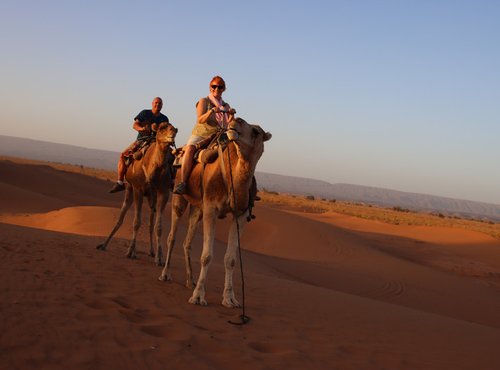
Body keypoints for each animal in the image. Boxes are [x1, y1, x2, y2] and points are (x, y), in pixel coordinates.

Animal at [96, 120, 177, 264]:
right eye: (162, 128)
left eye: (173, 128)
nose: (173, 133)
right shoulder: (138, 189)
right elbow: (136, 222)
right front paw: (129, 252)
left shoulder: (163, 192)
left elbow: (158, 226)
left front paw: (159, 257)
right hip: (129, 188)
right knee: (121, 217)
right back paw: (104, 245)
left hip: (150, 196)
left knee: (150, 223)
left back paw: (150, 251)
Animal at [159, 118, 270, 306]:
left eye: (256, 131)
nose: (235, 121)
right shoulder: (211, 208)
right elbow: (207, 256)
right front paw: (198, 296)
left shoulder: (240, 215)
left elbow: (231, 259)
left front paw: (230, 299)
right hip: (179, 196)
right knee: (172, 236)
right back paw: (165, 274)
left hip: (198, 208)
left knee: (187, 242)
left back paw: (190, 280)